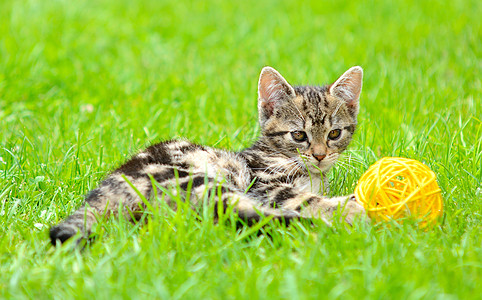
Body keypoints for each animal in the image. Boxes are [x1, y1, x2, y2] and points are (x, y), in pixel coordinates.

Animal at [50, 65, 366, 244]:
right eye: (298, 136)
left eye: (334, 134)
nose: (320, 155)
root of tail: (105, 189)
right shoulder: (266, 185)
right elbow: (306, 199)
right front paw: (349, 206)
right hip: (199, 182)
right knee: (245, 215)